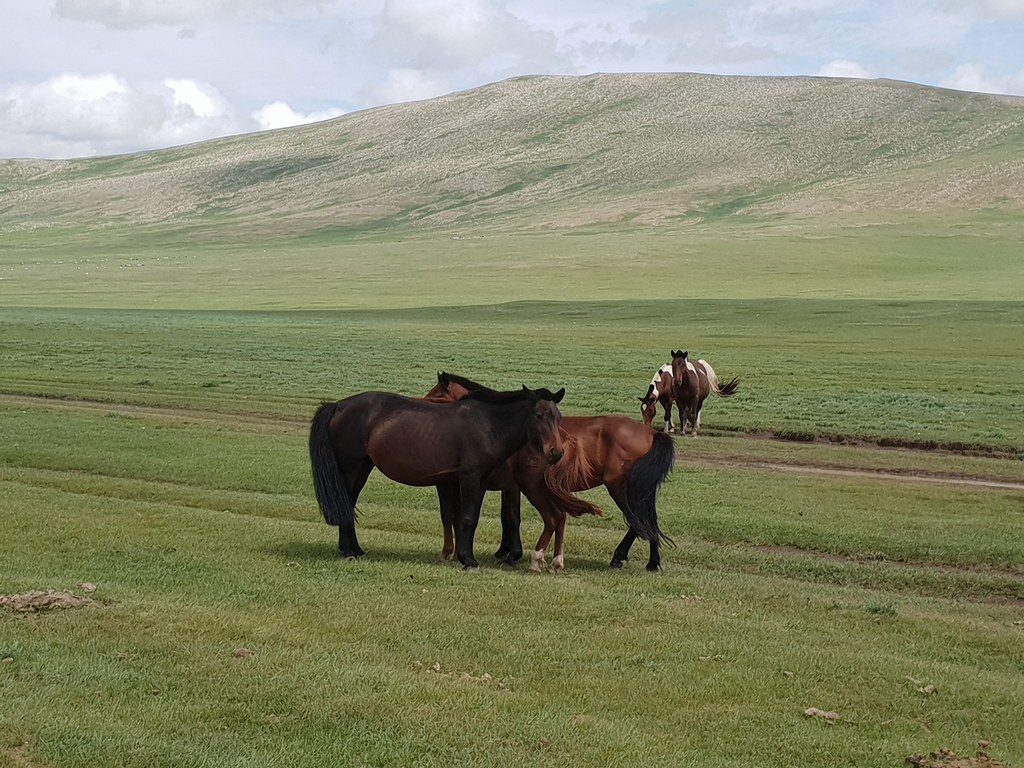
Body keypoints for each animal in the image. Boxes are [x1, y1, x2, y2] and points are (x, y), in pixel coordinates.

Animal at [311, 385, 569, 573]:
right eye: (538, 415)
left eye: (558, 417)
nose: (556, 452)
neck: (488, 424)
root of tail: (338, 406)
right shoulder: (470, 478)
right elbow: (467, 518)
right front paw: (468, 560)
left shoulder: (464, 483)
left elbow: (458, 518)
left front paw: (458, 556)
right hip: (351, 468)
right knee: (346, 503)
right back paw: (350, 550)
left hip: (363, 468)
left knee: (348, 503)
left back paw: (353, 549)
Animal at [423, 370, 671, 573]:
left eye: (437, 394)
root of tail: (652, 433)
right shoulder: (510, 486)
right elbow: (508, 516)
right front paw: (505, 551)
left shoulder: (496, 485)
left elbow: (508, 517)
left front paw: (510, 554)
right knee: (647, 520)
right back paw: (652, 561)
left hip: (619, 488)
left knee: (638, 521)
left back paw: (621, 557)